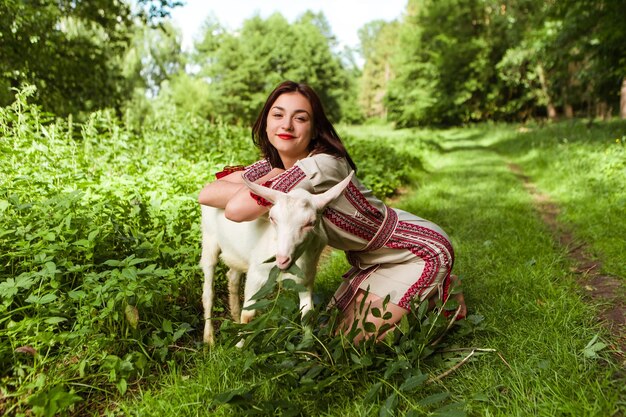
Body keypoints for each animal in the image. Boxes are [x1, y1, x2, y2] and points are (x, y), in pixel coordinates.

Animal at [200, 171, 352, 342]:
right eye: (272, 218)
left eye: (310, 223)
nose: (282, 260)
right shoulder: (255, 274)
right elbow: (248, 314)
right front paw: (239, 346)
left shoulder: (306, 278)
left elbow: (307, 314)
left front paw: (308, 345)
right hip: (209, 239)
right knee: (208, 290)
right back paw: (209, 339)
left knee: (232, 276)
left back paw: (234, 317)